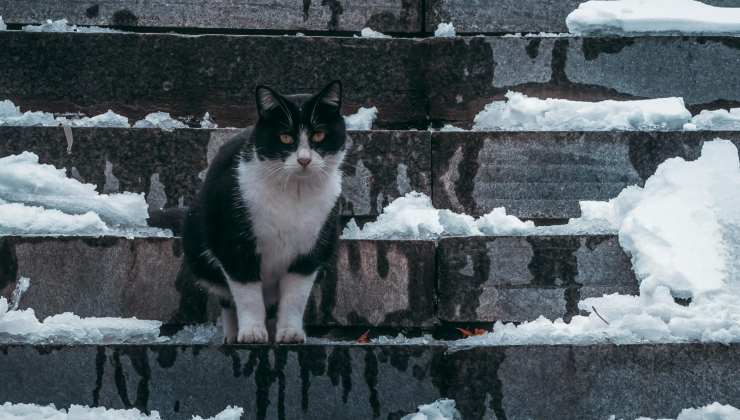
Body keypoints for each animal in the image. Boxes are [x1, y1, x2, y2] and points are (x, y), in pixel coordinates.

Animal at [184, 80, 348, 342]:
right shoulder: (235, 243)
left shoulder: (310, 251)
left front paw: (290, 332)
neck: (294, 193)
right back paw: (232, 334)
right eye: (285, 137)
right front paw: (251, 332)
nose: (304, 160)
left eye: (319, 134)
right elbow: (247, 294)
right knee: (227, 299)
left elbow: (295, 298)